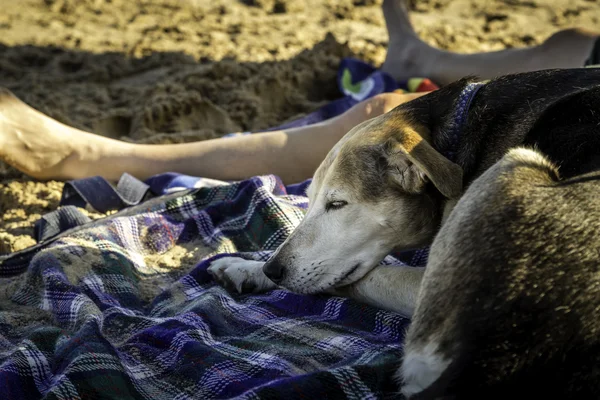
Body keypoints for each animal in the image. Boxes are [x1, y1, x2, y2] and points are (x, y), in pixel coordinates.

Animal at [209, 69, 600, 396]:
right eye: (309, 198)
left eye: (337, 204)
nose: (274, 270)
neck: (461, 127)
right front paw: (248, 267)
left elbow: (353, 277)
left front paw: (252, 269)